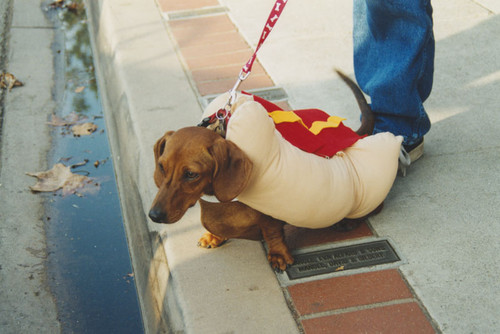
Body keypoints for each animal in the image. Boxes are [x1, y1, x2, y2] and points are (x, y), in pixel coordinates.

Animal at [148, 71, 376, 272]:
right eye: (162, 166)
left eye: (191, 174)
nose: (154, 216)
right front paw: (213, 236)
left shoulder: (270, 215)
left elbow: (272, 231)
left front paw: (278, 254)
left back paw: (350, 220)